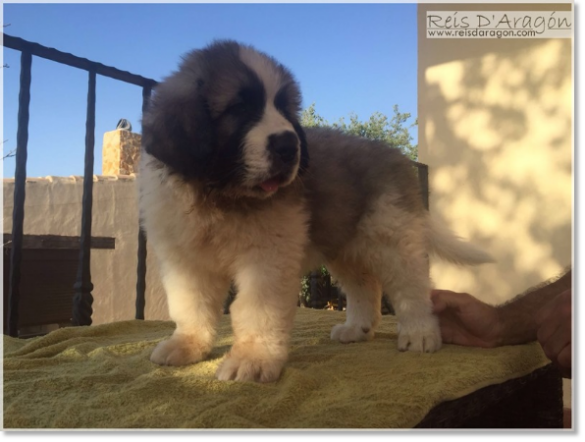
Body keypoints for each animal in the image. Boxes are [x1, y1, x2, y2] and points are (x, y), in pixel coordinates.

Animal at [138, 39, 492, 382]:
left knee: (411, 286)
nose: (289, 146)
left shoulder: (268, 256)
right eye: (239, 108)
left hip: (392, 235)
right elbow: (190, 303)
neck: (220, 196)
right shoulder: (186, 260)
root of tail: (393, 153)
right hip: (344, 245)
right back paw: (358, 328)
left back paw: (420, 333)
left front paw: (253, 358)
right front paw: (188, 344)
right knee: (365, 285)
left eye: (284, 107)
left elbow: (257, 308)